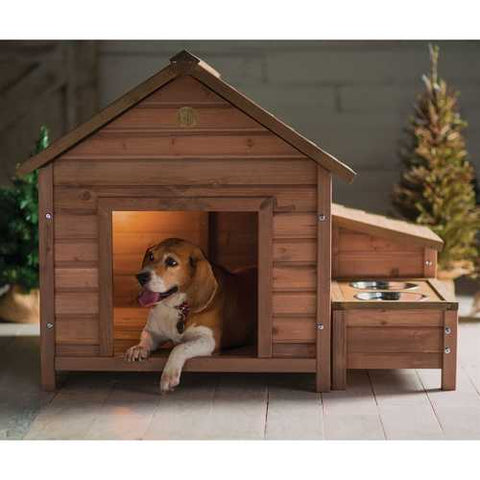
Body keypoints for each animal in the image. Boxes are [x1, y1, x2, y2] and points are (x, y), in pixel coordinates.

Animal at [125, 238, 256, 392]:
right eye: (151, 256)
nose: (140, 276)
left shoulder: (209, 340)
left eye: (171, 262)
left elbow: (179, 347)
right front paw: (138, 348)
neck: (177, 307)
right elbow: (145, 337)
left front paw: (169, 375)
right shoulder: (153, 331)